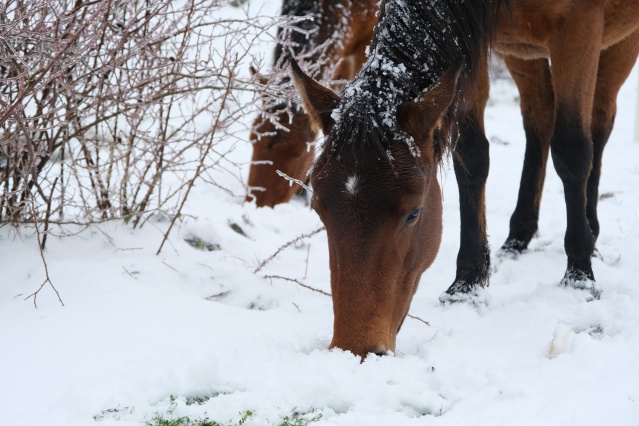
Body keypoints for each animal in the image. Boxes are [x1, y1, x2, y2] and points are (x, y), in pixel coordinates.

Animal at [291, 0, 639, 357]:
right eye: (319, 210)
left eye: (413, 214)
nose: (356, 348)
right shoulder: (470, 39)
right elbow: (472, 155)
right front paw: (466, 284)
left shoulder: (580, 29)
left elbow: (572, 151)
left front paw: (579, 275)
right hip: (524, 54)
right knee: (539, 119)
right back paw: (518, 236)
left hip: (619, 42)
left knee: (598, 124)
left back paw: (589, 229)